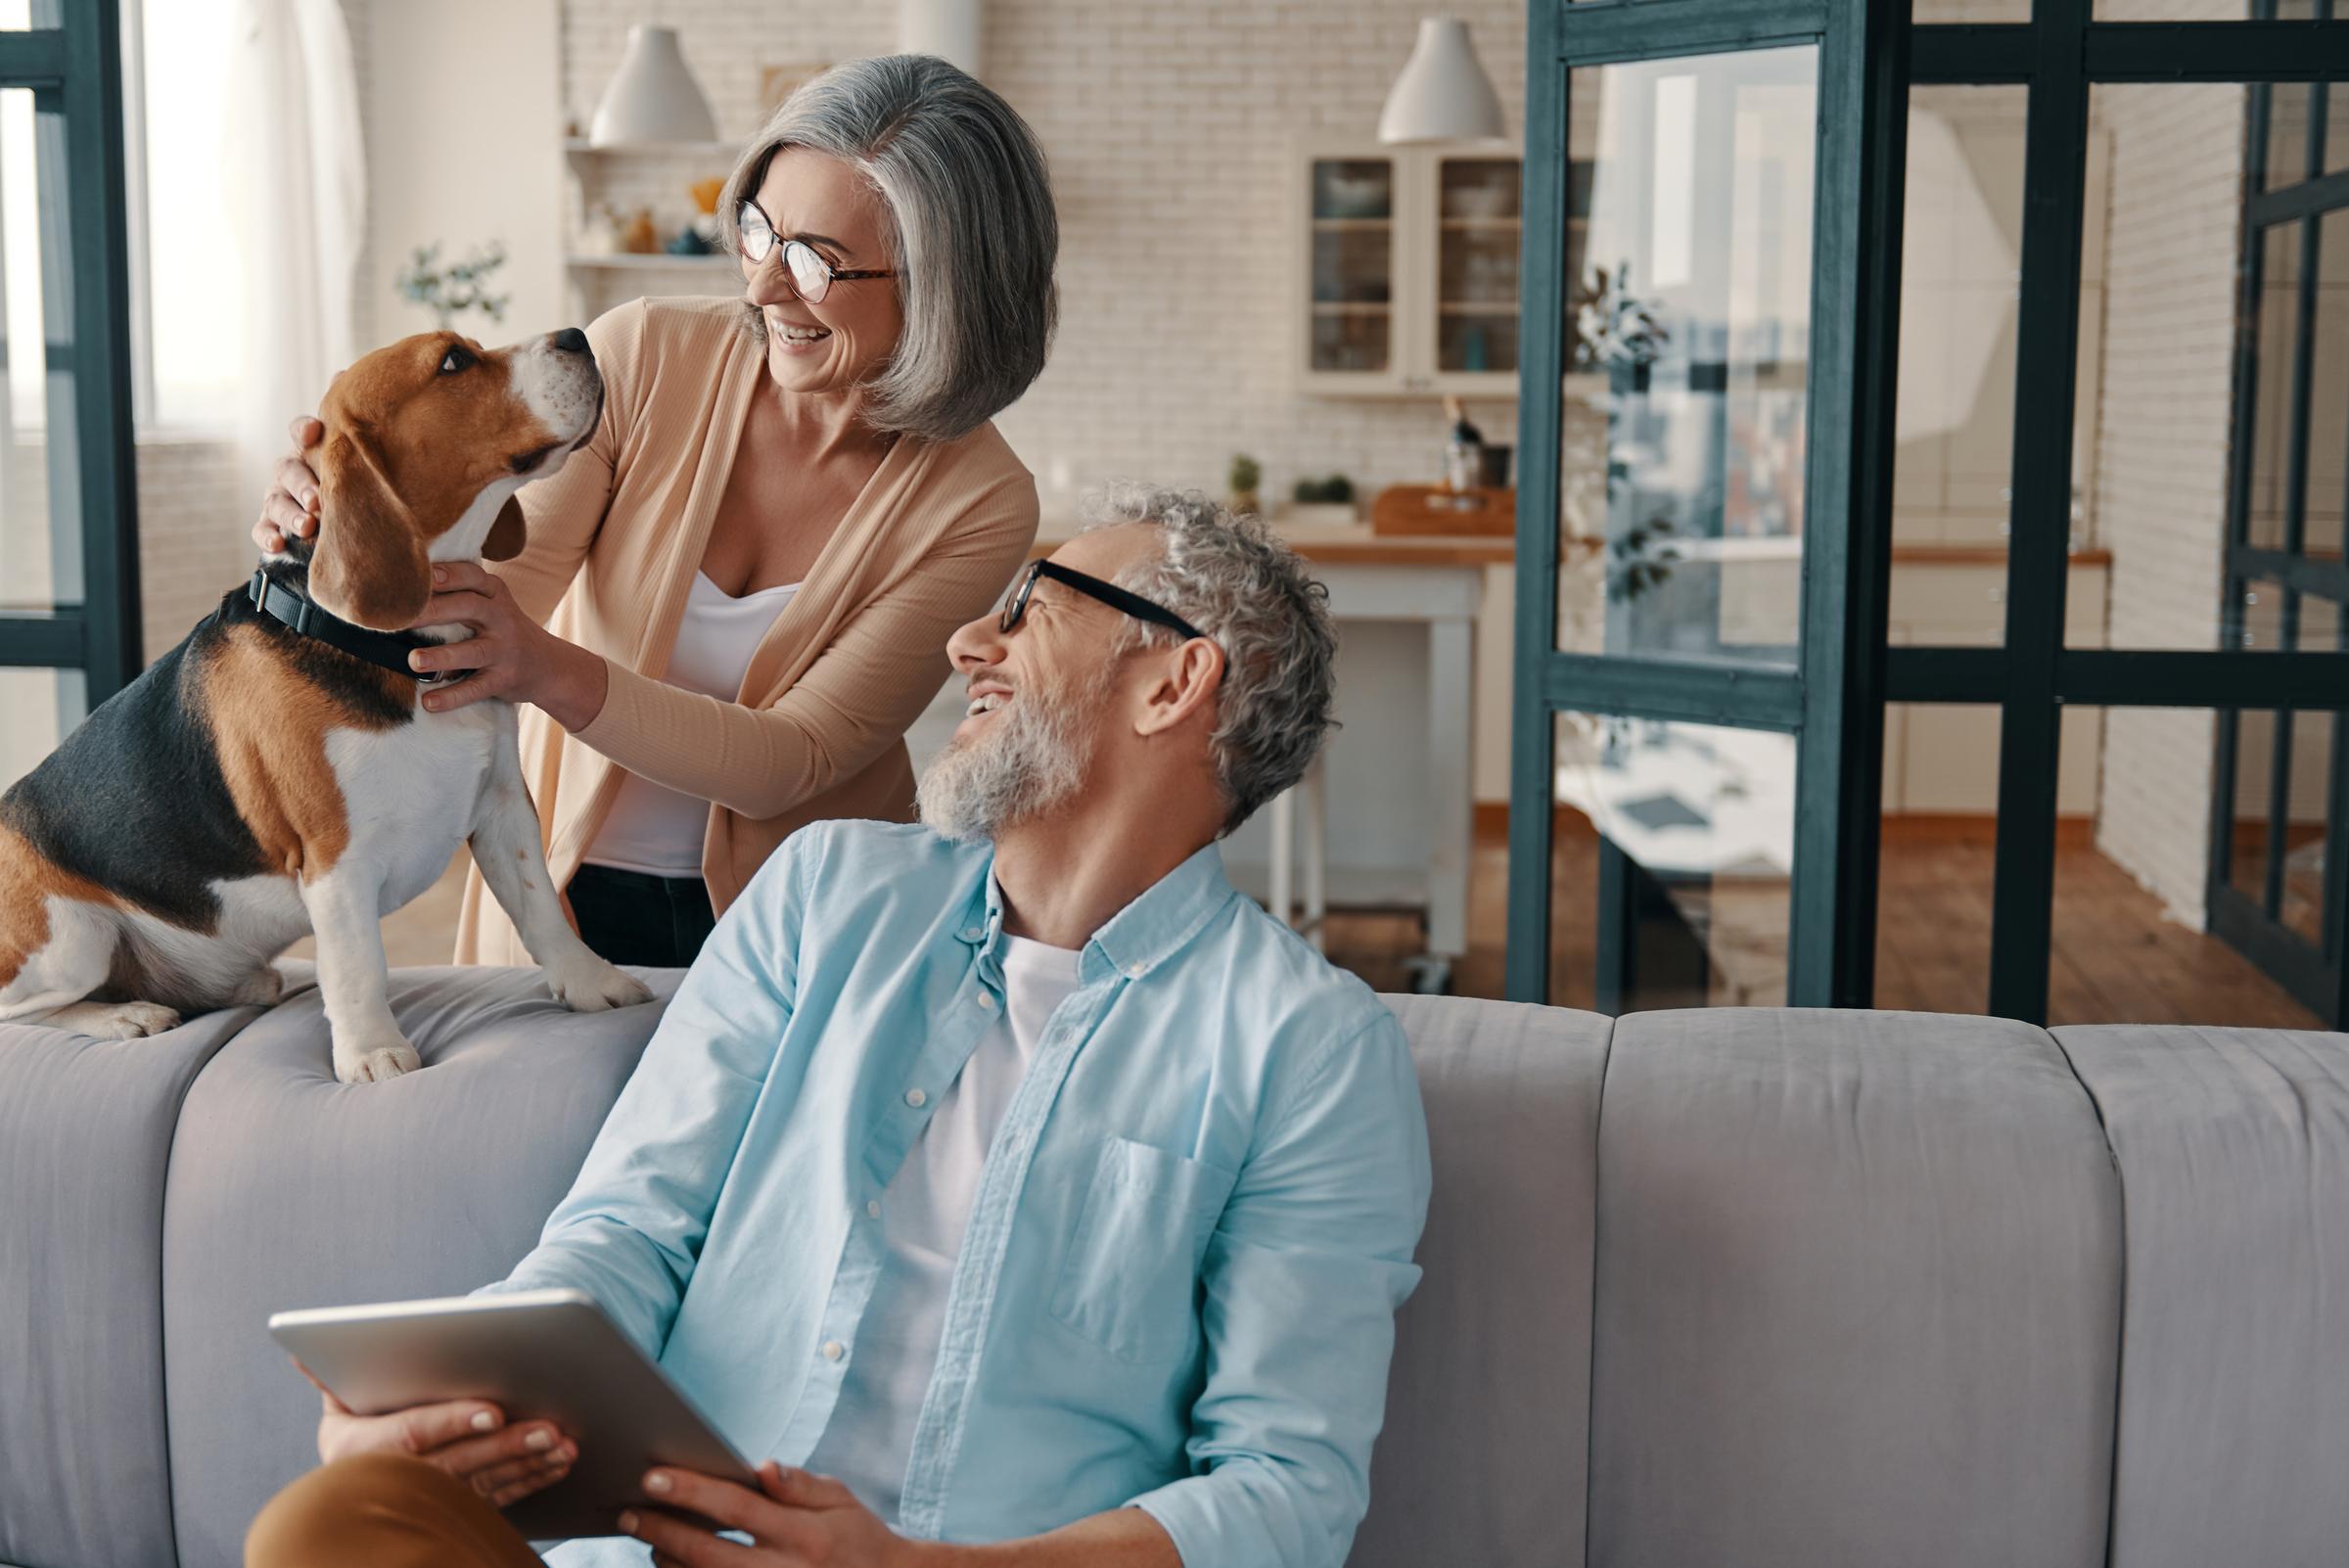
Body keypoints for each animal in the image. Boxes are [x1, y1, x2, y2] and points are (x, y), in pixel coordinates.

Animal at [0, 323, 653, 1084]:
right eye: (453, 361)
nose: (577, 335)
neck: (394, 648)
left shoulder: (502, 806)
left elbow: (540, 907)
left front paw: (592, 983)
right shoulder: (335, 858)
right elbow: (359, 964)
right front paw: (373, 1053)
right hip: (72, 939)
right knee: (28, 1010)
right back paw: (124, 1015)